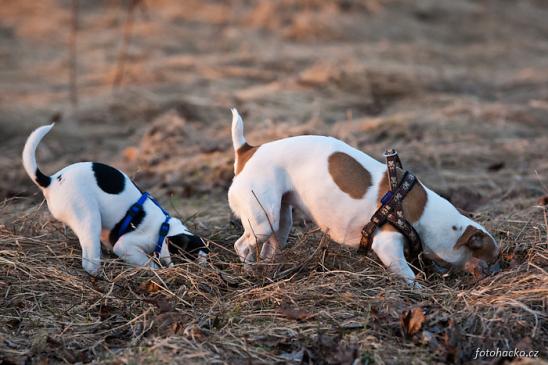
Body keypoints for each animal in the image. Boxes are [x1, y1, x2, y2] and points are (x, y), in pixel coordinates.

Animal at [20, 123, 207, 274]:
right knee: (89, 261)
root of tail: (51, 180)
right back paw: (98, 274)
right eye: (188, 258)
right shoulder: (125, 246)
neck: (163, 228)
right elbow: (146, 262)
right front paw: (155, 269)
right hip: (89, 218)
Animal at [227, 108, 500, 284]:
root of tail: (247, 151)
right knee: (242, 245)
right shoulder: (387, 245)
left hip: (280, 220)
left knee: (271, 246)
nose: (498, 271)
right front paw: (418, 290)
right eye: (489, 258)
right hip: (262, 221)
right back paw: (248, 271)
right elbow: (407, 274)